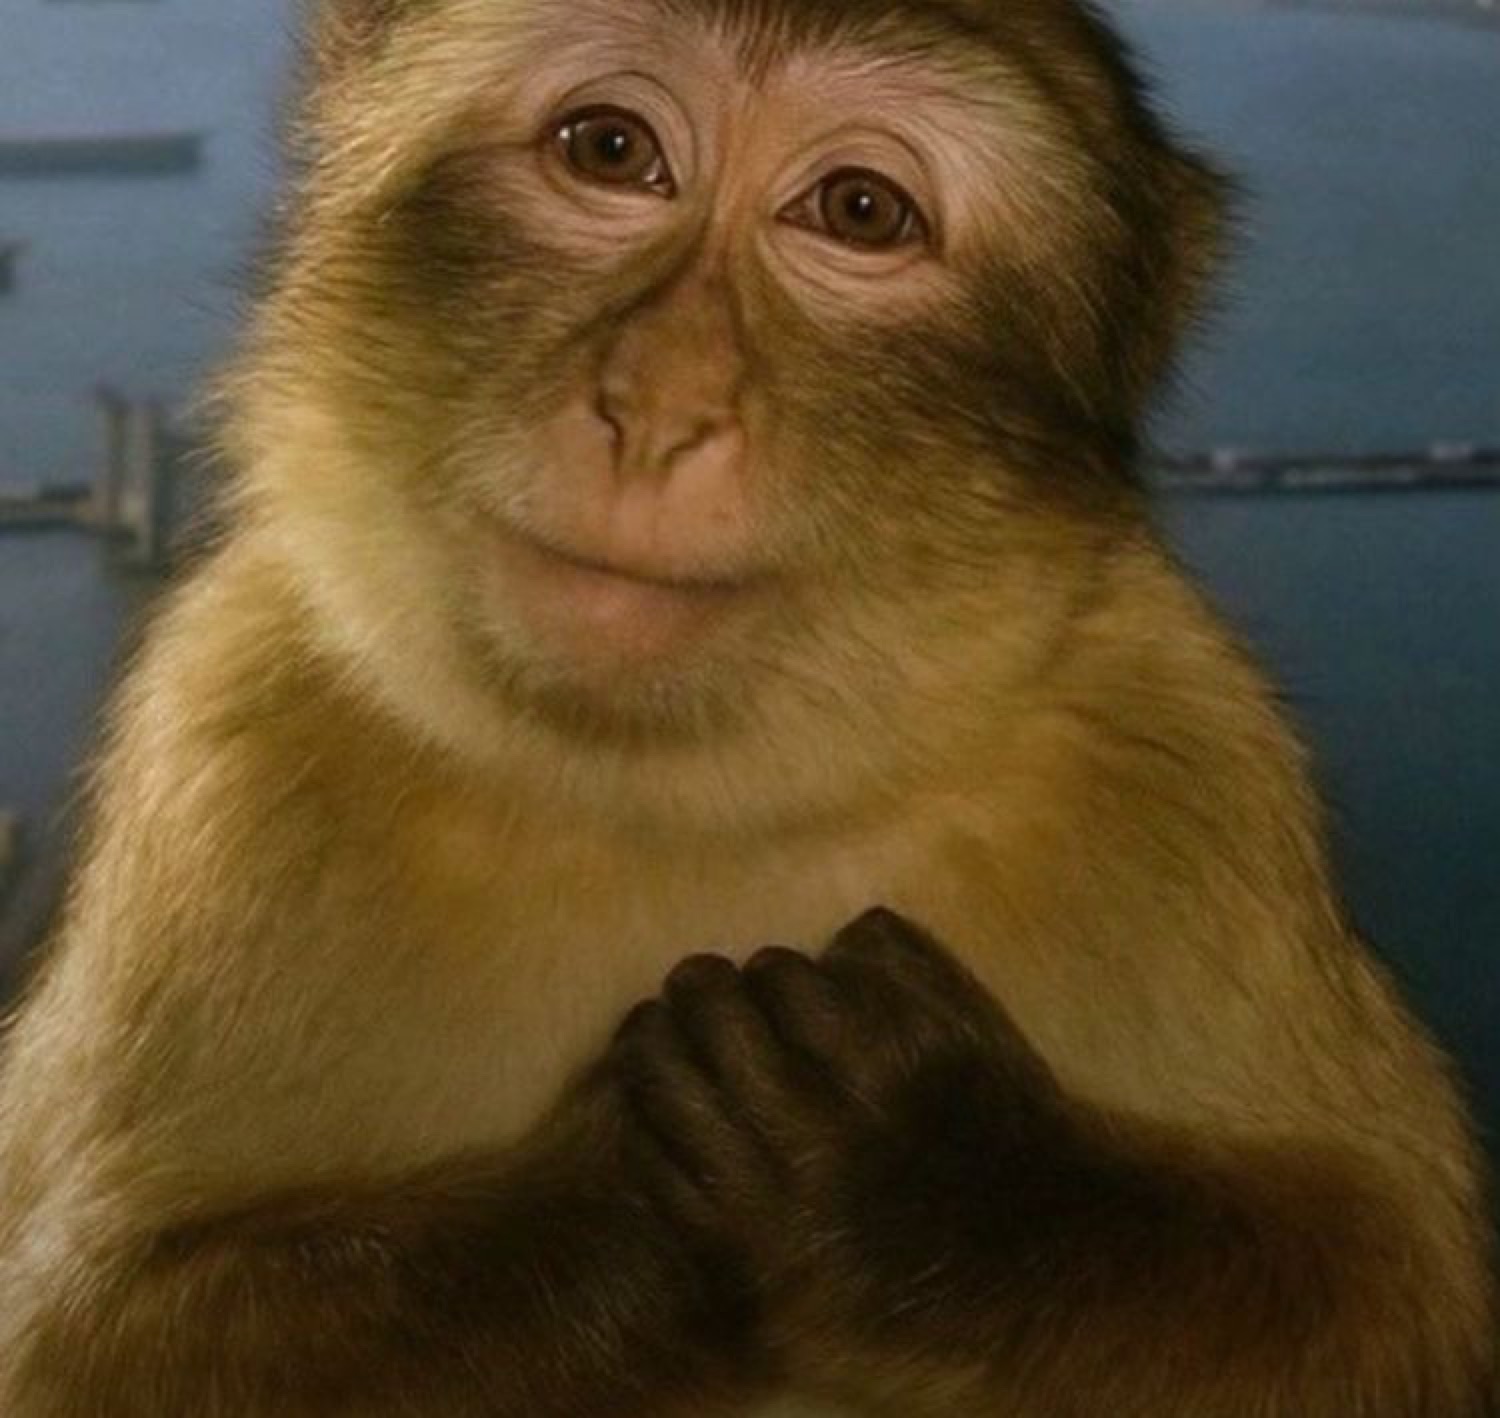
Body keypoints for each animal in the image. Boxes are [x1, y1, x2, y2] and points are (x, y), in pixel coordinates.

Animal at [0, 0, 1493, 1412]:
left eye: (860, 212)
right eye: (611, 151)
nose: (659, 404)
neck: (684, 789)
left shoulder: (1184, 749)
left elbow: (1390, 1278)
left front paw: (920, 1184)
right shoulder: (230, 739)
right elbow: (85, 1333)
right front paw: (630, 1212)